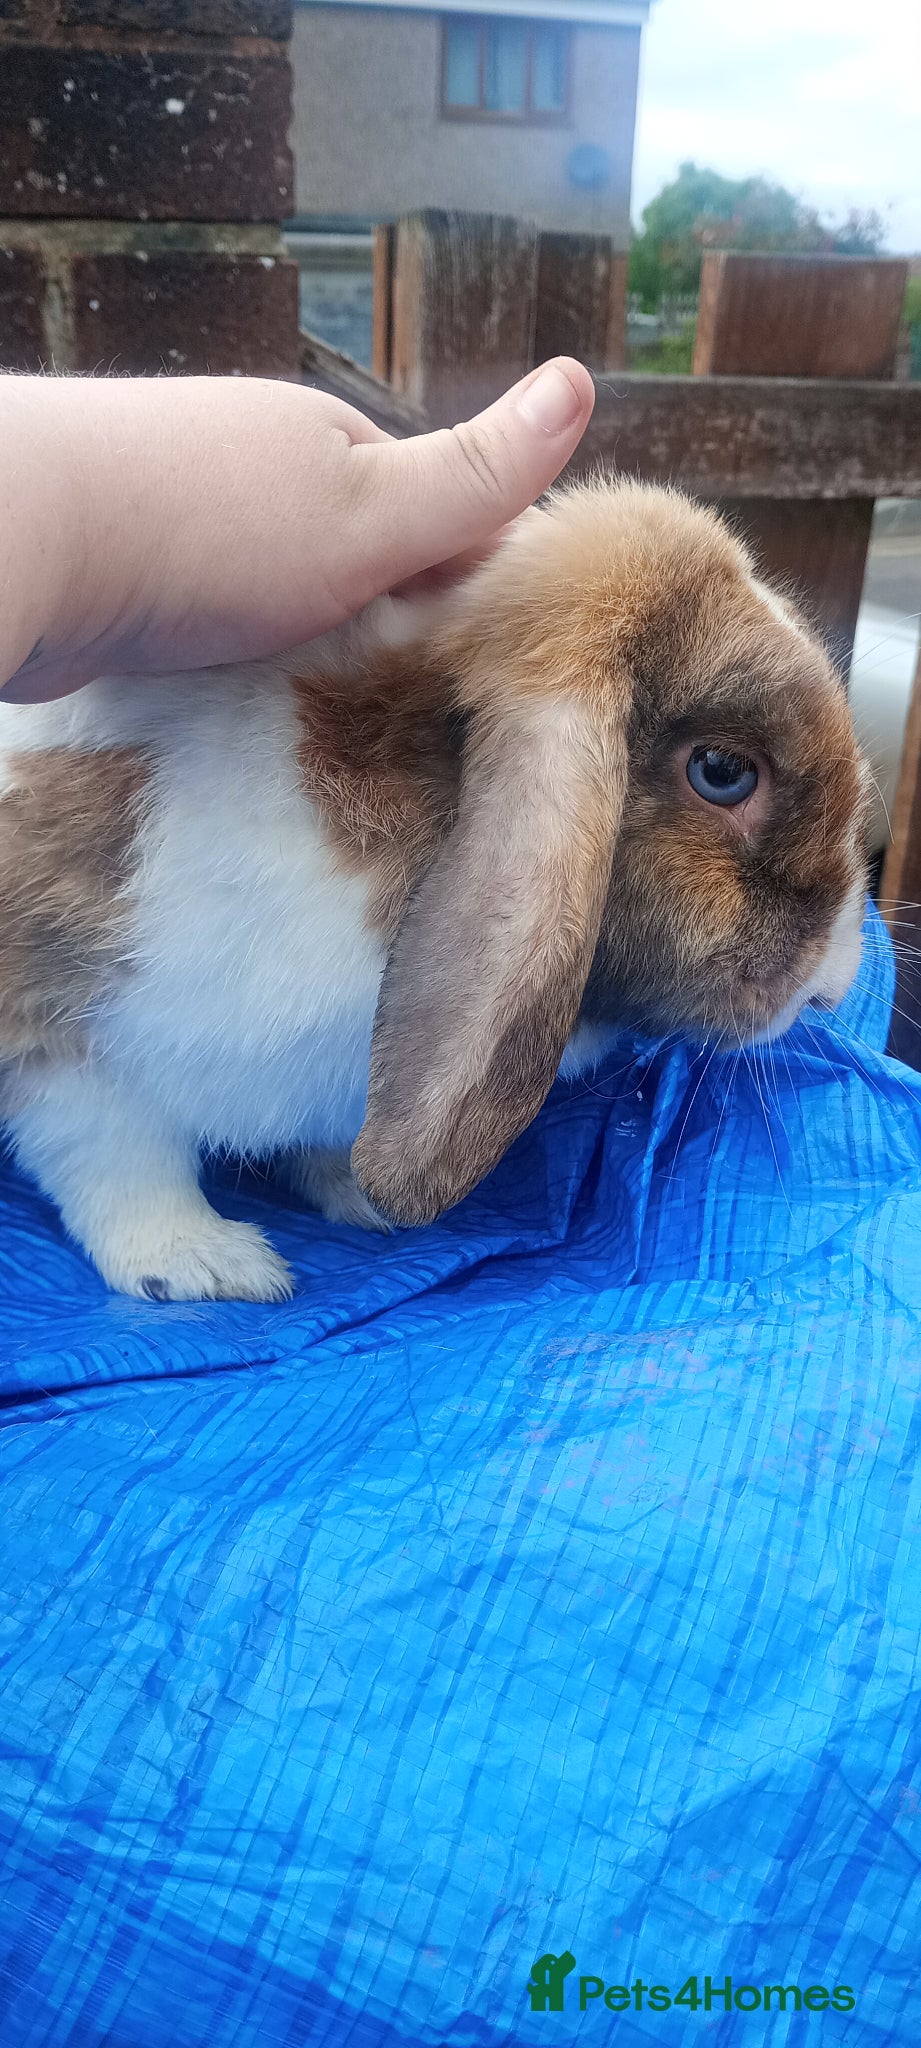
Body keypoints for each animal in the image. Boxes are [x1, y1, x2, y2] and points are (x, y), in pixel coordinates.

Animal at [0, 479, 870, 1302]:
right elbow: (117, 1159)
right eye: (722, 773)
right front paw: (201, 1263)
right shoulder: (61, 1038)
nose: (829, 992)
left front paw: (355, 1190)